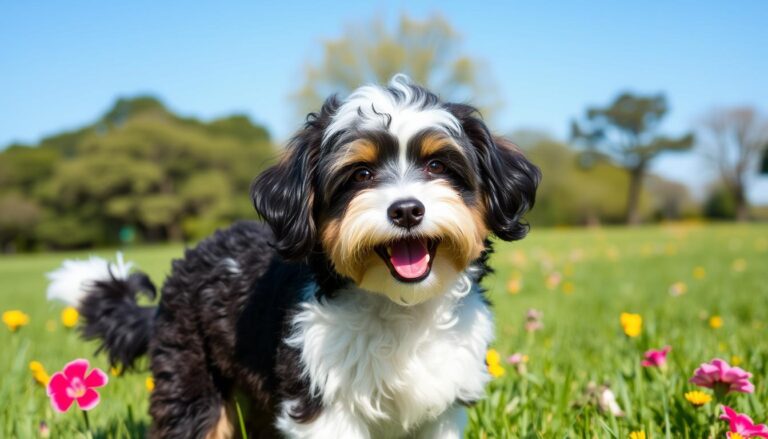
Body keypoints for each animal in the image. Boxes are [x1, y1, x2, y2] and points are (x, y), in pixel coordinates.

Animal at [46, 74, 540, 438]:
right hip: (190, 376)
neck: (399, 307)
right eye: (360, 175)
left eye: (438, 166)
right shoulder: (322, 401)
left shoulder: (440, 408)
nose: (406, 210)